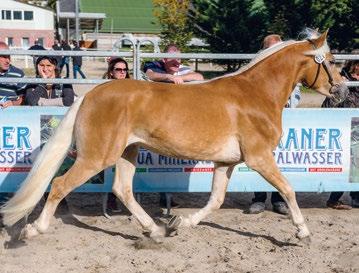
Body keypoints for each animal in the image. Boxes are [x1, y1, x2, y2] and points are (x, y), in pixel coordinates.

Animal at [0, 30, 348, 242]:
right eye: (331, 61)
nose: (343, 91)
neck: (256, 94)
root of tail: (91, 95)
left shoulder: (225, 163)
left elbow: (215, 200)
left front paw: (180, 223)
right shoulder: (259, 158)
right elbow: (288, 190)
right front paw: (302, 232)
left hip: (126, 153)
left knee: (123, 189)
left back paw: (155, 230)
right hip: (97, 156)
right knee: (60, 185)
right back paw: (33, 230)